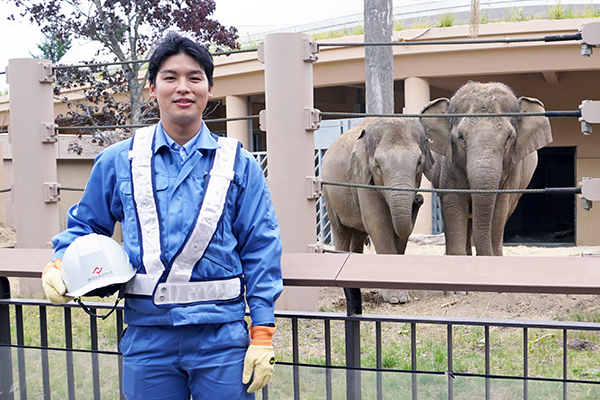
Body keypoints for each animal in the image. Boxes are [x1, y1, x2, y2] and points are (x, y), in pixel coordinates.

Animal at [324, 117, 432, 314]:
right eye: (377, 165)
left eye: (419, 162)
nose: (419, 199)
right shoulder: (363, 178)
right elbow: (378, 223)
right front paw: (396, 298)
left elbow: (397, 229)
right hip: (329, 192)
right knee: (341, 231)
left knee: (357, 236)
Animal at [420, 81, 552, 256]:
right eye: (461, 137)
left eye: (509, 137)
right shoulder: (449, 164)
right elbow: (454, 202)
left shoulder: (513, 171)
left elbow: (500, 209)